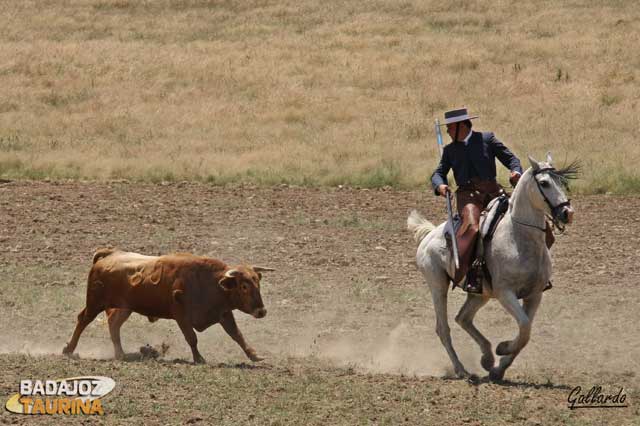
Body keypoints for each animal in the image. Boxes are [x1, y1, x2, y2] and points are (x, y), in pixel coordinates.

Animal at [62, 248, 276, 364]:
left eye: (258, 282)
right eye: (244, 286)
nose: (262, 311)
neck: (210, 282)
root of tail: (109, 254)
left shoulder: (223, 314)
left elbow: (237, 335)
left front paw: (254, 355)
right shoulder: (181, 315)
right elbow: (192, 338)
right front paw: (199, 358)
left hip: (124, 308)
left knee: (114, 324)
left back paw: (120, 354)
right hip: (95, 303)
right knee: (83, 320)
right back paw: (69, 349)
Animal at [410, 155, 580, 382]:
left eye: (563, 182)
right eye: (544, 183)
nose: (567, 213)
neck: (517, 237)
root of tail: (429, 235)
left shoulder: (534, 295)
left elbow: (526, 332)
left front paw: (499, 367)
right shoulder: (505, 293)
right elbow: (524, 326)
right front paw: (503, 348)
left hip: (479, 294)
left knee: (463, 318)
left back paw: (487, 358)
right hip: (438, 286)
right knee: (443, 329)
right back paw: (462, 370)